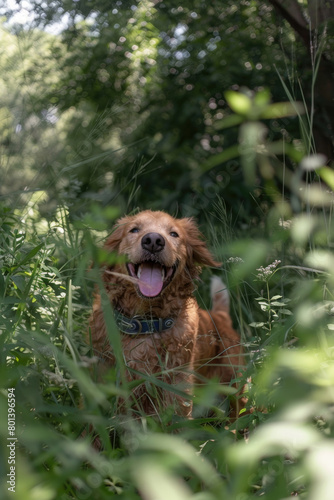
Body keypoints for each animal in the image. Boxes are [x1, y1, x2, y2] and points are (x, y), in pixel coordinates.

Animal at [88, 210, 245, 418]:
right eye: (134, 230)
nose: (153, 241)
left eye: (174, 234)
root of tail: (219, 316)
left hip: (236, 386)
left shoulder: (178, 385)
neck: (146, 322)